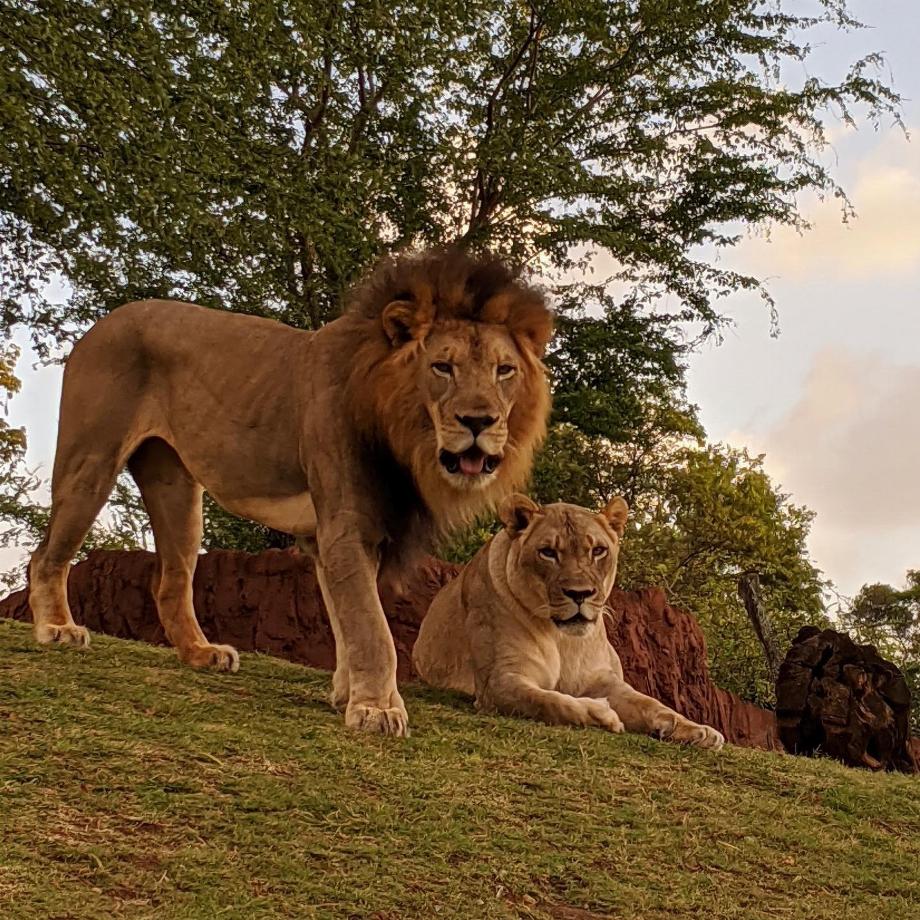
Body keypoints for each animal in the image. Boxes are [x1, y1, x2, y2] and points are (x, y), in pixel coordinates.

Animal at [28, 249, 553, 736]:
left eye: (504, 371)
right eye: (443, 367)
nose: (479, 421)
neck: (404, 433)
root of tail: (102, 322)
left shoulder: (331, 538)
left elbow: (345, 622)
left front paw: (347, 694)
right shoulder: (345, 527)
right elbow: (372, 628)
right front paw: (377, 708)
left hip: (177, 490)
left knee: (170, 582)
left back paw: (200, 653)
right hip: (91, 462)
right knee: (46, 555)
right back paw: (57, 628)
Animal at [412, 494, 725, 749]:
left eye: (598, 551)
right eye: (548, 552)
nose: (580, 594)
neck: (562, 637)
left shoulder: (602, 679)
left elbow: (650, 703)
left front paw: (696, 729)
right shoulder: (499, 681)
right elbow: (551, 702)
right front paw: (602, 713)